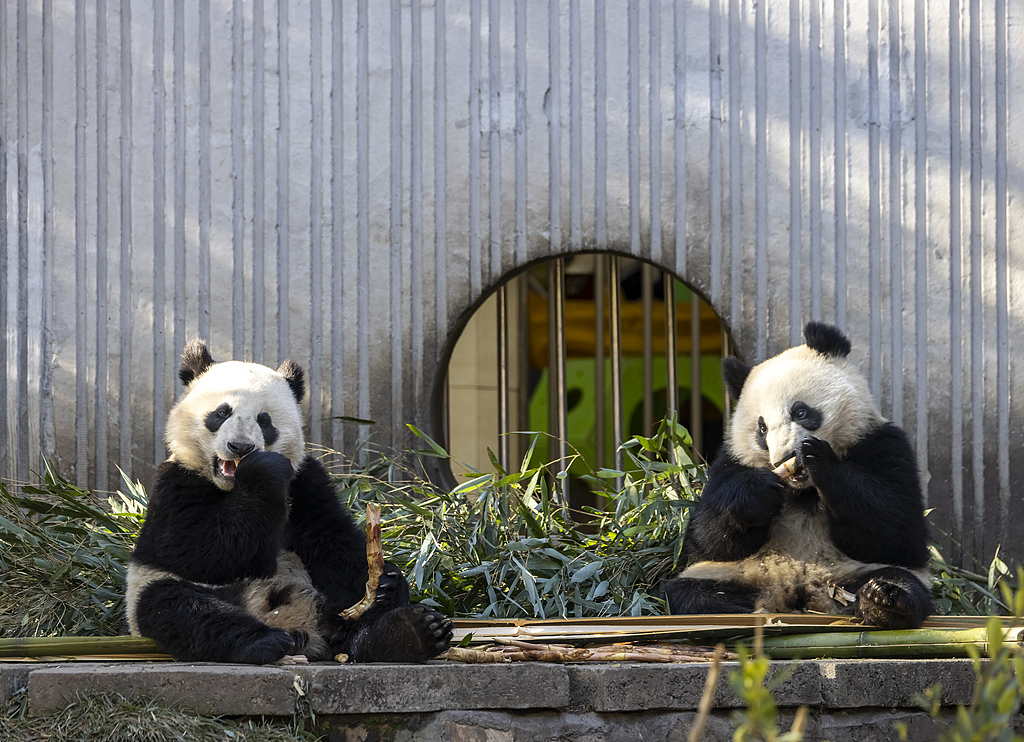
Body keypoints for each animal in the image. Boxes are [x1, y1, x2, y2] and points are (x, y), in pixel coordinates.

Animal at [125, 337, 454, 663]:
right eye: (221, 413)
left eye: (264, 421)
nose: (240, 447)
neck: (232, 486)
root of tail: (302, 633)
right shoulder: (175, 485)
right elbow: (201, 549)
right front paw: (264, 470)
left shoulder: (306, 482)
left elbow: (332, 539)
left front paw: (388, 581)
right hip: (157, 591)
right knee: (181, 608)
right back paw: (264, 642)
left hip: (327, 603)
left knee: (352, 627)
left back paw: (410, 632)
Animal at [663, 321, 937, 626]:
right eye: (762, 428)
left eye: (801, 412)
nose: (784, 457)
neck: (802, 491)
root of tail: (796, 590)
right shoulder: (729, 463)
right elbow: (707, 537)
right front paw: (757, 494)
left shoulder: (882, 444)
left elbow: (899, 531)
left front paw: (821, 460)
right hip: (729, 572)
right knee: (688, 591)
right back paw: (739, 608)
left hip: (850, 572)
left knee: (900, 578)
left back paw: (883, 601)